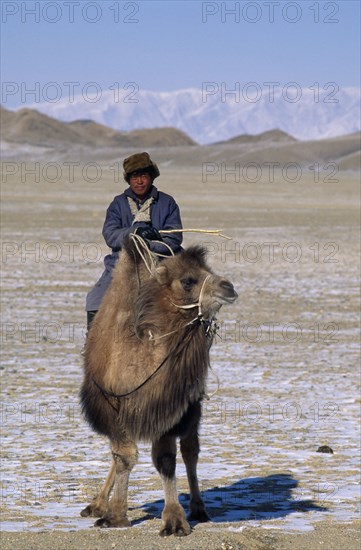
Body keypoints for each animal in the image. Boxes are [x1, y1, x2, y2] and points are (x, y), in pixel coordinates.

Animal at [79, 238, 236, 540]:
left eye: (209, 271)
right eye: (188, 280)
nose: (229, 287)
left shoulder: (166, 406)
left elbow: (165, 459)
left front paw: (174, 521)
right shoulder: (113, 407)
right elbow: (123, 457)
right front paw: (115, 515)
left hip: (192, 407)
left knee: (190, 450)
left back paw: (199, 508)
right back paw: (97, 504)